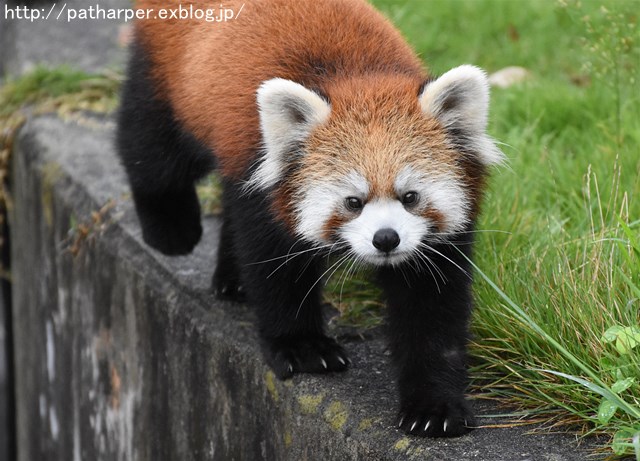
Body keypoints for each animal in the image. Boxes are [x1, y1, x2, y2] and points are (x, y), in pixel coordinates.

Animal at [117, 0, 502, 438]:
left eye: (410, 197)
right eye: (353, 201)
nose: (386, 239)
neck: (359, 78)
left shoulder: (435, 241)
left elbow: (431, 310)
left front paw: (434, 405)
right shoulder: (264, 183)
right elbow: (276, 271)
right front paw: (303, 348)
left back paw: (232, 279)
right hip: (170, 75)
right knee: (150, 148)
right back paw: (170, 230)